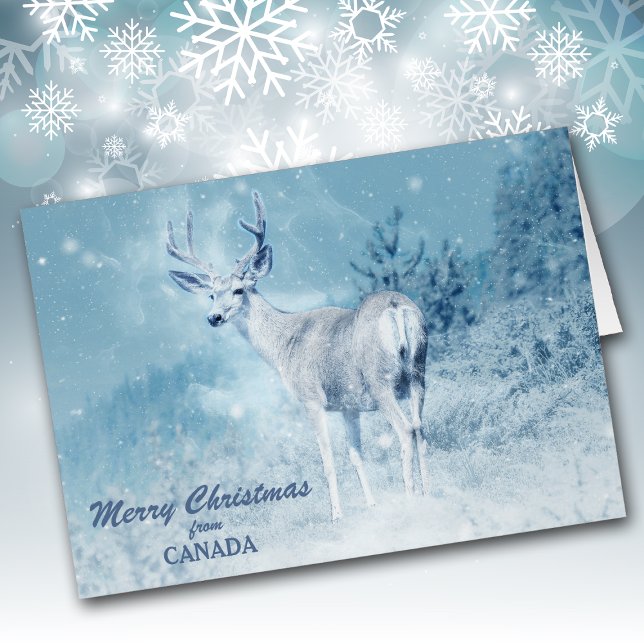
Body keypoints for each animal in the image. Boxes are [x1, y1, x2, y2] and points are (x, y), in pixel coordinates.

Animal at [166, 190, 429, 522]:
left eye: (239, 290)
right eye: (212, 294)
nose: (213, 317)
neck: (284, 345)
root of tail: (396, 307)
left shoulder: (311, 398)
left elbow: (327, 461)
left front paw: (336, 515)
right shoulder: (348, 405)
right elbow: (355, 455)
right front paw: (371, 505)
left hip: (380, 381)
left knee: (406, 430)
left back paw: (410, 499)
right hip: (419, 371)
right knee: (421, 428)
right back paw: (431, 491)